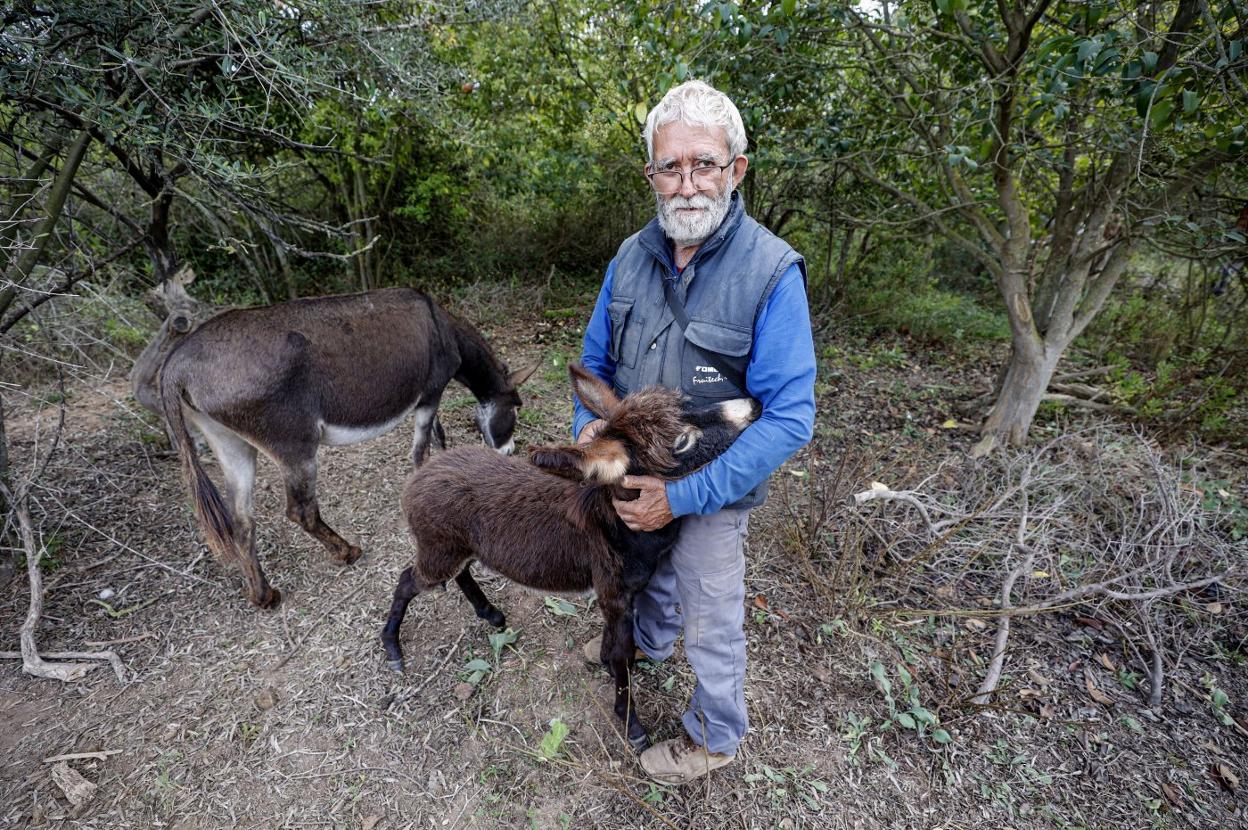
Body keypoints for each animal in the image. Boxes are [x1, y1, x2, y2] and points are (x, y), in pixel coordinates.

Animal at [379, 364, 753, 748]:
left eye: (687, 402)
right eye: (682, 442)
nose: (753, 406)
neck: (617, 521)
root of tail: (423, 471)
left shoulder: (624, 596)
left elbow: (617, 647)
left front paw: (609, 668)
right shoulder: (613, 594)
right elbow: (622, 654)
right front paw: (631, 724)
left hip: (455, 548)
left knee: (459, 573)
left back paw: (490, 613)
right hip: (439, 551)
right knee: (408, 580)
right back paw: (393, 649)